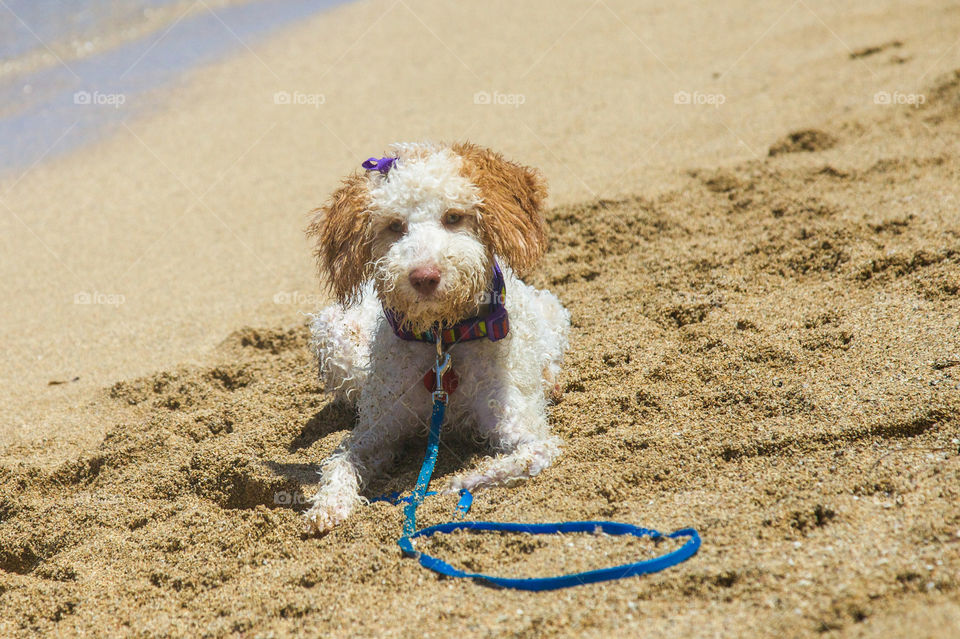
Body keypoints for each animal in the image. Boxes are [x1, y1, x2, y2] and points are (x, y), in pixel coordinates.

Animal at [302, 141, 568, 536]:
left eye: (454, 217)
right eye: (394, 226)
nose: (424, 276)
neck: (443, 339)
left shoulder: (522, 427)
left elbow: (527, 457)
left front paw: (458, 483)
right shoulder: (376, 433)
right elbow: (340, 461)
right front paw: (329, 505)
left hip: (552, 312)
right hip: (334, 335)